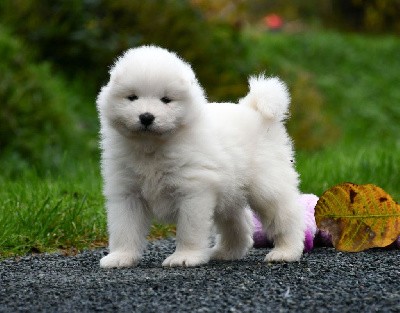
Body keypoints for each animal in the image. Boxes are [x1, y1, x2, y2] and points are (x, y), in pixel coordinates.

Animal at [97, 45, 306, 266]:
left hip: (266, 186)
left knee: (286, 215)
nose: (146, 117)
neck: (151, 148)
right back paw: (225, 252)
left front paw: (185, 256)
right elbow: (124, 229)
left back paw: (286, 251)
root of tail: (254, 109)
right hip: (230, 191)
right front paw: (121, 256)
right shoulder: (127, 193)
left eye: (166, 100)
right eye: (132, 97)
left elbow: (189, 230)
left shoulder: (193, 191)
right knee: (239, 223)